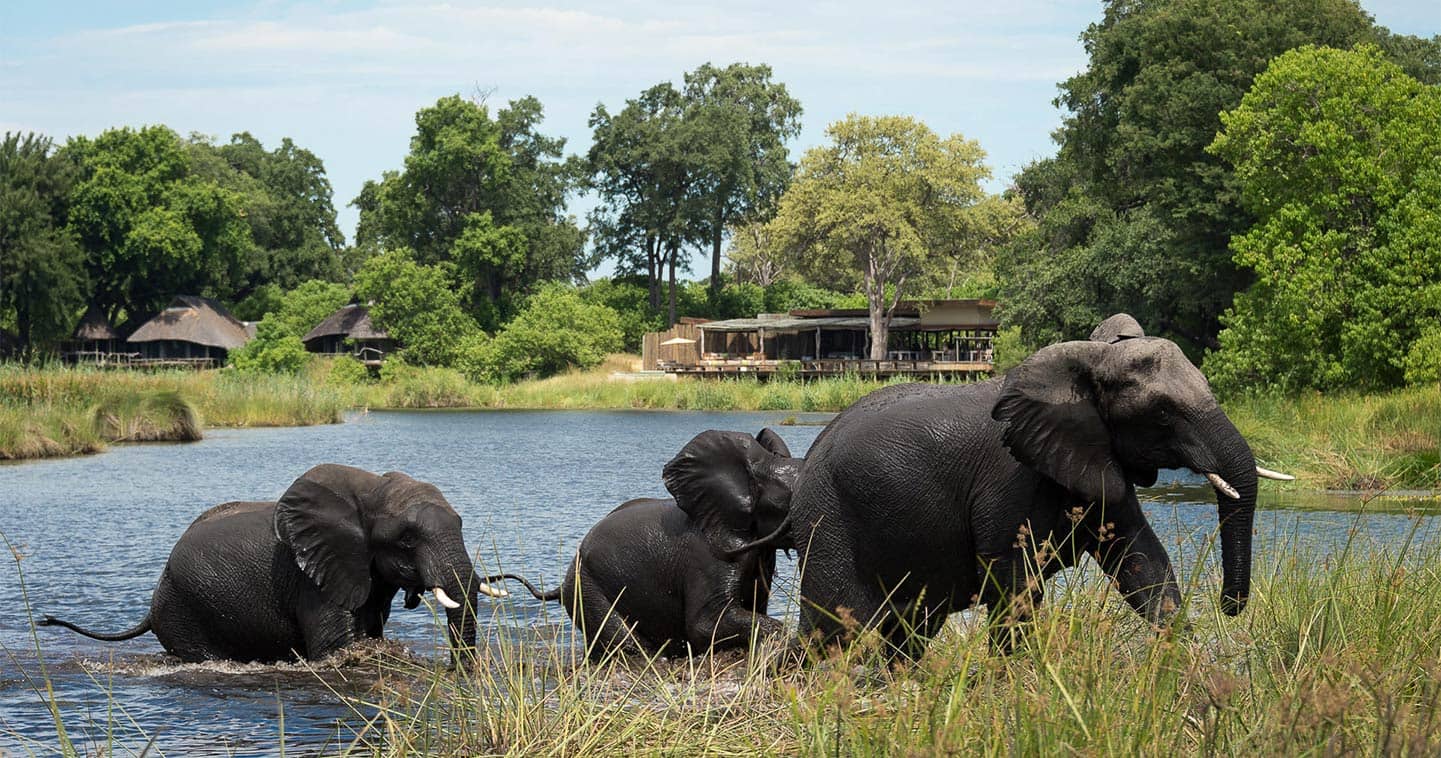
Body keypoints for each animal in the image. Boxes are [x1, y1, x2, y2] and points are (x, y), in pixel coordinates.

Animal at [40, 464, 507, 665]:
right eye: (408, 538)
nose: (458, 671)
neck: (371, 488)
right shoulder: (311, 579)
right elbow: (336, 648)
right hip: (183, 609)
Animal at [789, 318, 1296, 662]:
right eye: (1163, 413)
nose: (1229, 606)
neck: (1089, 360)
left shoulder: (1096, 456)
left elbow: (1141, 561)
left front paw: (1184, 661)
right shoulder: (1009, 477)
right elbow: (1014, 581)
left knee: (907, 631)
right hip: (827, 520)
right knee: (836, 629)